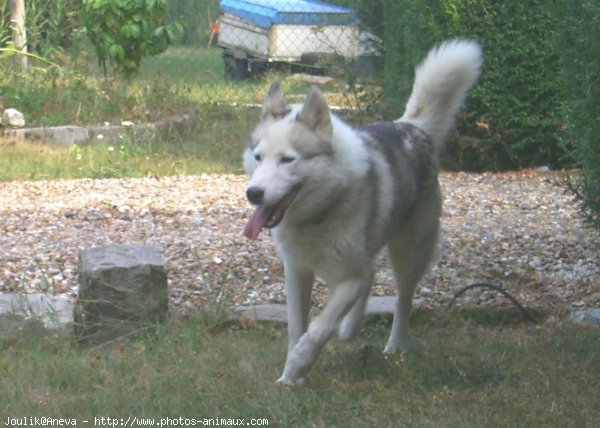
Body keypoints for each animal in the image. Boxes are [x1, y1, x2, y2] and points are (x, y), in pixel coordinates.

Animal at [241, 39, 480, 384]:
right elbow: (297, 328)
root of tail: (411, 127)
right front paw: (290, 377)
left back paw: (394, 346)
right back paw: (351, 328)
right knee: (372, 275)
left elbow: (318, 327)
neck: (319, 215)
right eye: (258, 157)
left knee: (402, 298)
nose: (253, 194)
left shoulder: (349, 279)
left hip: (409, 253)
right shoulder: (296, 272)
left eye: (287, 160)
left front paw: (299, 363)